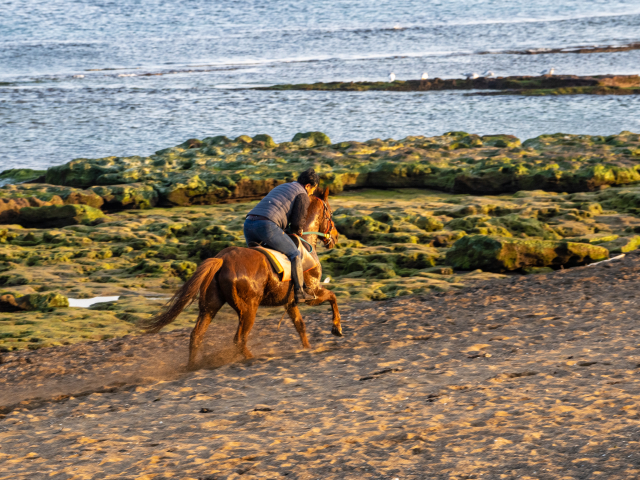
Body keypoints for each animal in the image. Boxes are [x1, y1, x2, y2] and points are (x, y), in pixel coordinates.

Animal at [142, 189, 342, 370]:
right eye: (330, 213)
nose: (336, 236)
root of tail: (222, 259)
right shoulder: (312, 294)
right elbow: (332, 297)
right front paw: (336, 328)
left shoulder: (290, 302)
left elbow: (300, 325)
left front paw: (308, 347)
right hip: (248, 309)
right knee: (238, 339)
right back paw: (252, 358)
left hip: (210, 306)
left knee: (196, 335)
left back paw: (192, 367)